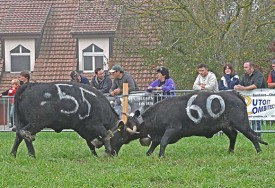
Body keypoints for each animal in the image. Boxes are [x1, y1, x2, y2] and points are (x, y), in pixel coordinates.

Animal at [113, 90, 270, 158]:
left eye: (122, 131)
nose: (112, 144)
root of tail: (234, 94)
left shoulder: (173, 129)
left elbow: (163, 142)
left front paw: (161, 156)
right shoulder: (158, 134)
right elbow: (155, 143)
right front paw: (149, 153)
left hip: (241, 123)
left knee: (252, 135)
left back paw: (259, 151)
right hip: (225, 126)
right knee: (233, 135)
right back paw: (230, 151)